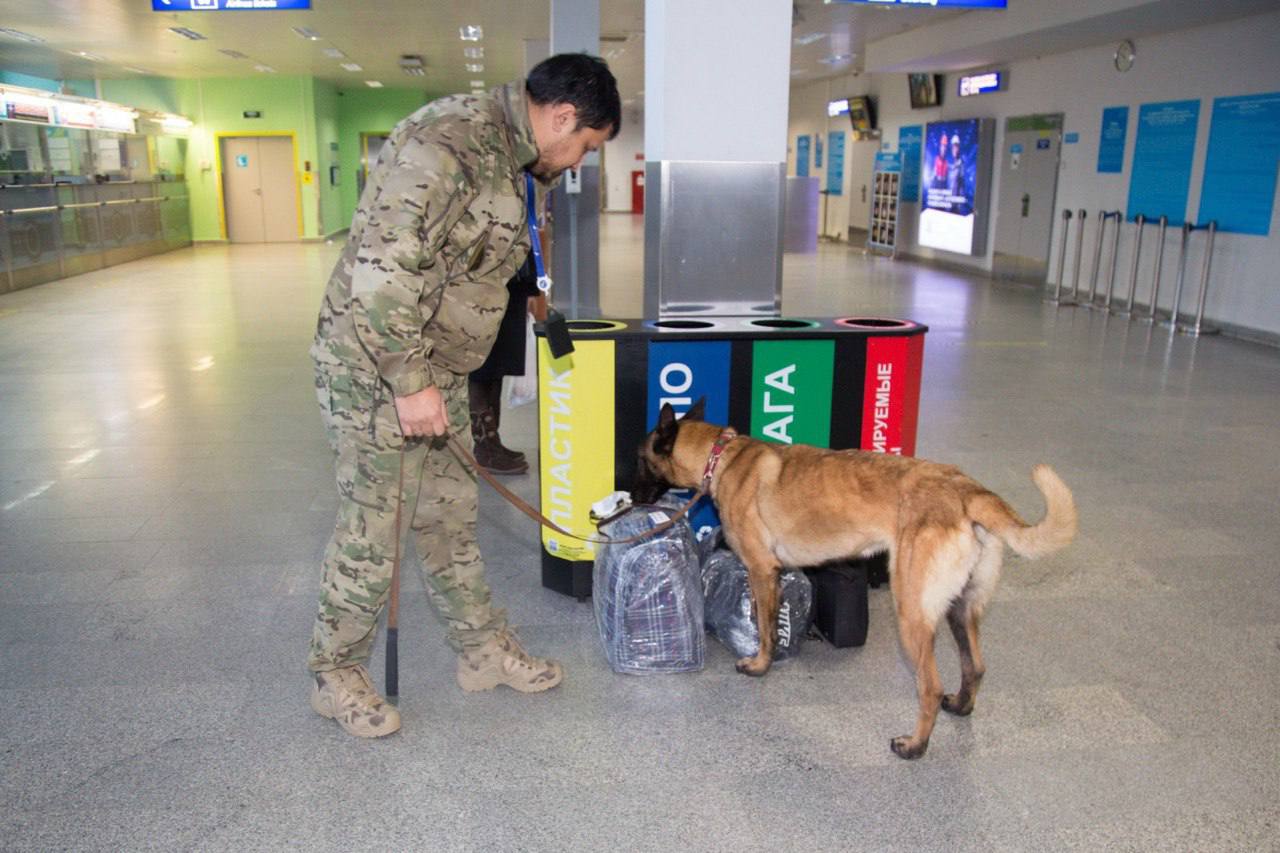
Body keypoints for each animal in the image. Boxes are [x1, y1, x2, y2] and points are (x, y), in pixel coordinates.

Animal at [634, 399, 1075, 758]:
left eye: (639, 458)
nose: (630, 496)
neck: (721, 456)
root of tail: (966, 489)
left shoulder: (761, 570)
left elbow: (763, 626)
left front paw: (760, 664)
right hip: (960, 609)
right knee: (975, 667)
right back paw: (961, 707)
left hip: (911, 612)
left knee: (929, 687)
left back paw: (915, 746)